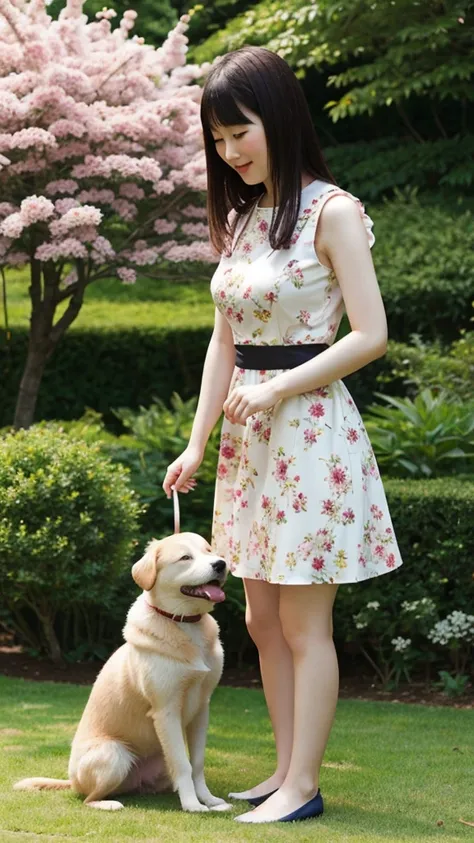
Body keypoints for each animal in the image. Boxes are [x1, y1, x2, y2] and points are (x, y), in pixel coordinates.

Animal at [16, 532, 233, 816]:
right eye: (185, 557)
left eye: (209, 551)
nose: (221, 564)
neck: (184, 623)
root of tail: (72, 781)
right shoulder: (166, 710)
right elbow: (184, 764)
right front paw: (192, 805)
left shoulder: (202, 708)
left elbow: (196, 763)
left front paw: (209, 800)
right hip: (114, 754)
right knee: (88, 798)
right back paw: (107, 803)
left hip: (157, 764)